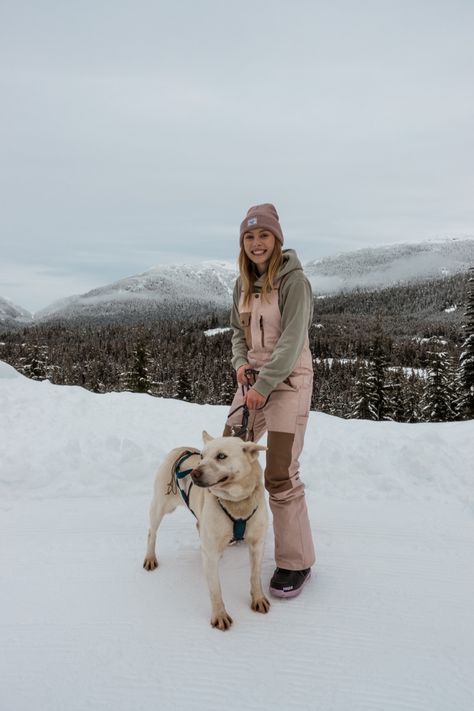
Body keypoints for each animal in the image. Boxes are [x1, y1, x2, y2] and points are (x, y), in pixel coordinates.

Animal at [143, 432, 270, 632]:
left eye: (221, 456)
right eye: (202, 456)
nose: (194, 473)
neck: (237, 503)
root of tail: (180, 449)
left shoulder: (257, 544)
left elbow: (255, 576)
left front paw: (258, 598)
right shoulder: (210, 554)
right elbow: (215, 589)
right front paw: (219, 615)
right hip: (159, 507)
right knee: (151, 532)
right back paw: (150, 557)